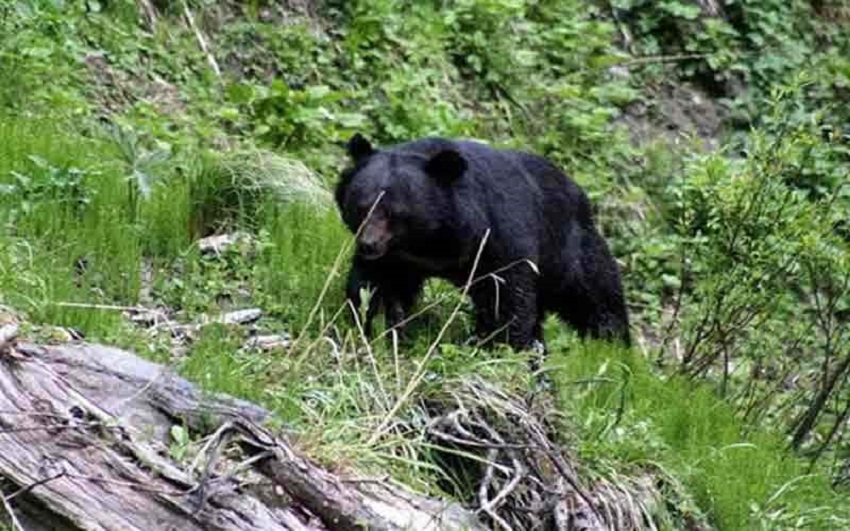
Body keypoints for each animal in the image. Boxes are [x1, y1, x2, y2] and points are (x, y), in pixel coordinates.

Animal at [334, 133, 628, 352]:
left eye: (394, 214)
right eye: (361, 207)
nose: (368, 245)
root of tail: (580, 193)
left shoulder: (497, 237)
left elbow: (507, 296)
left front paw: (499, 344)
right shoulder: (397, 259)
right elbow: (375, 287)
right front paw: (379, 328)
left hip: (568, 250)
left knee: (596, 295)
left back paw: (612, 347)